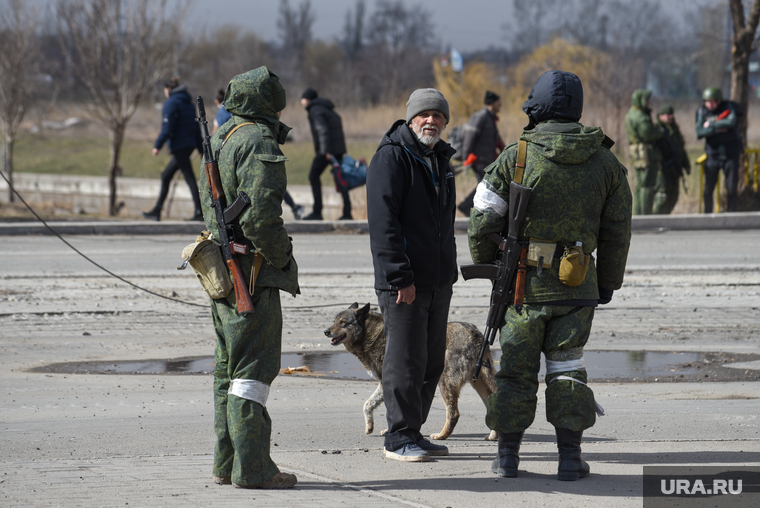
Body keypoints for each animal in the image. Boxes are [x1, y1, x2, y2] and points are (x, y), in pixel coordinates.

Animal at [322, 302, 496, 440]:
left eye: (343, 323)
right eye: (334, 321)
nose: (326, 332)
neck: (370, 334)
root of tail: (476, 334)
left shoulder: (387, 382)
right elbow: (368, 404)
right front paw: (370, 426)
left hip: (445, 382)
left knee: (453, 413)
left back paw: (441, 435)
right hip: (479, 384)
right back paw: (493, 436)